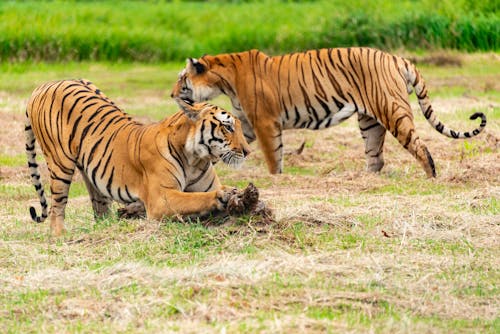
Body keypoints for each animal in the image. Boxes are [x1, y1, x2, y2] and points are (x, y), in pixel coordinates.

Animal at [24, 79, 250, 236]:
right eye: (227, 127)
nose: (247, 151)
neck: (196, 159)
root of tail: (43, 85)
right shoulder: (160, 198)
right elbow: (194, 199)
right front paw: (224, 194)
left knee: (99, 204)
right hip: (59, 163)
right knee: (57, 206)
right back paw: (60, 234)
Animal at [170, 47, 486, 177]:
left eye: (181, 79)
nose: (172, 95)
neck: (225, 80)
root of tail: (397, 58)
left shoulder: (265, 122)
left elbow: (273, 156)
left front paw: (275, 178)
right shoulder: (246, 124)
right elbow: (233, 145)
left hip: (393, 111)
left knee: (421, 148)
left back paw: (431, 178)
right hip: (369, 122)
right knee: (376, 157)